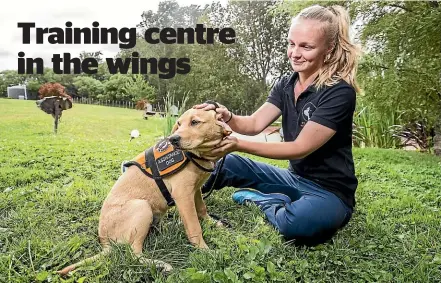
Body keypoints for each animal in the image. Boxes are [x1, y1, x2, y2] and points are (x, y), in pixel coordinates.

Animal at [56, 107, 232, 276]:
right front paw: (205, 251)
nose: (173, 139)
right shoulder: (183, 194)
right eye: (179, 124)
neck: (198, 154)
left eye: (195, 122)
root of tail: (104, 241)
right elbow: (194, 227)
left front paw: (213, 223)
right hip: (142, 207)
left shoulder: (195, 190)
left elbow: (202, 210)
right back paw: (161, 264)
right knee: (134, 254)